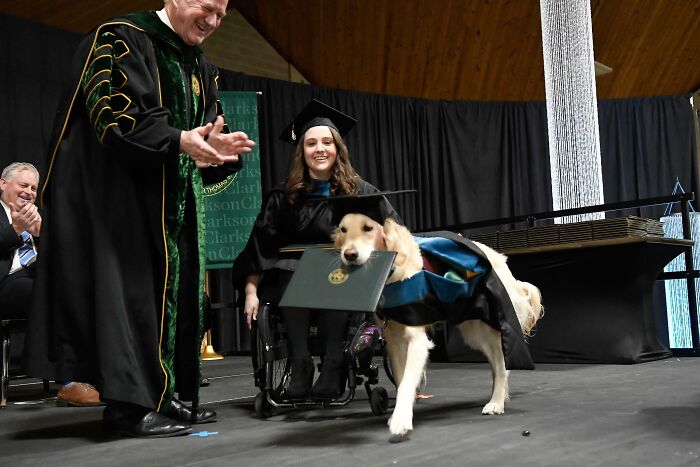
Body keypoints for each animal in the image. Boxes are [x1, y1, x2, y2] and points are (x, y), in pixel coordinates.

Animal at [330, 192, 544, 444]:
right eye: (343, 230)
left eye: (368, 228)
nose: (349, 255)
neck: (392, 272)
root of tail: (499, 258)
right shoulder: (393, 339)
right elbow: (402, 379)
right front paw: (401, 412)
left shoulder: (417, 339)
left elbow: (406, 382)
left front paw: (401, 421)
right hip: (473, 329)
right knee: (496, 363)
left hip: (488, 325)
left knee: (502, 365)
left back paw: (496, 402)